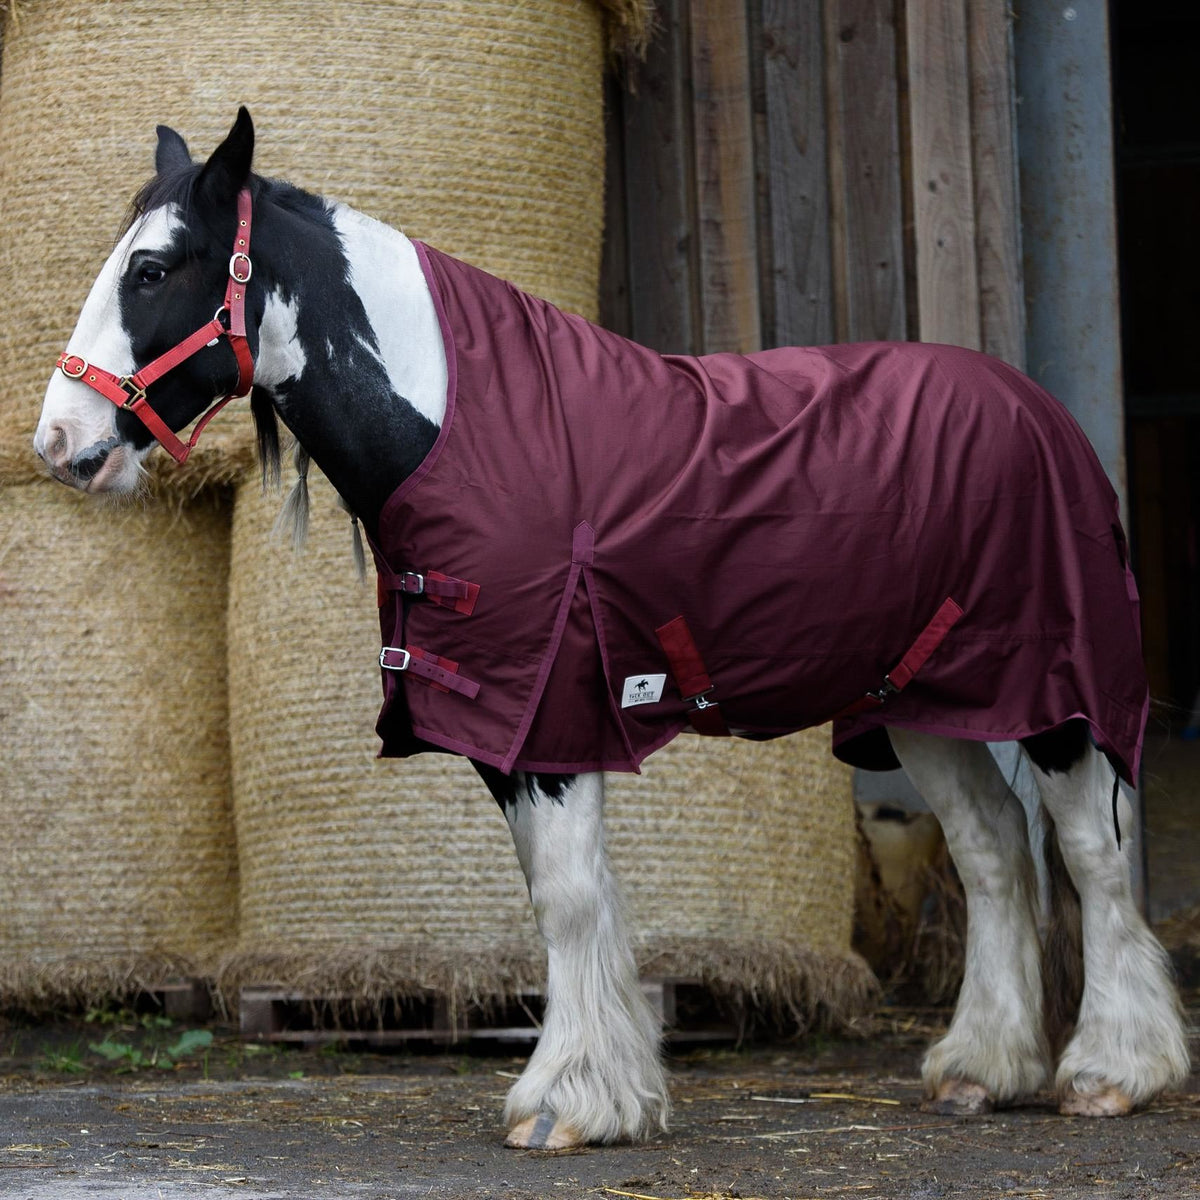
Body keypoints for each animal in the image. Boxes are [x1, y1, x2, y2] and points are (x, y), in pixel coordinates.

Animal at [35, 109, 1189, 1150]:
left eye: (152, 270)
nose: (60, 442)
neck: (460, 422)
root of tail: (1039, 413)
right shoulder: (502, 724)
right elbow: (560, 895)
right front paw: (608, 1087)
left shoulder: (549, 712)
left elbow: (569, 899)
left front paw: (570, 1101)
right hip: (919, 702)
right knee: (994, 852)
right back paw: (981, 1069)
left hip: (1060, 702)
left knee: (1089, 854)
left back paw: (1112, 1072)